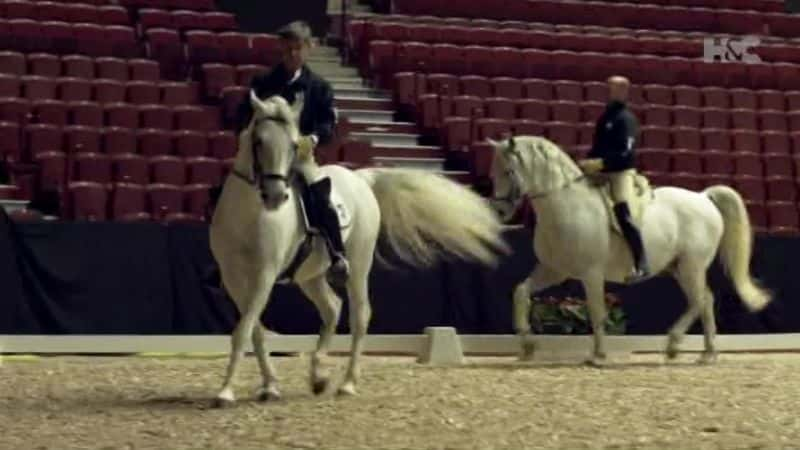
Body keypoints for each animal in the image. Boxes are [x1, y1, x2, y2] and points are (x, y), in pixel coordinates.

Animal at [206, 93, 506, 406]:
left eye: (293, 145)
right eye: (258, 141)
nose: (276, 197)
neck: (249, 214)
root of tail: (360, 179)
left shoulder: (264, 273)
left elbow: (243, 331)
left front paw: (226, 392)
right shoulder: (233, 277)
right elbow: (254, 331)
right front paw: (270, 386)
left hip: (359, 264)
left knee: (360, 315)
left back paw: (347, 384)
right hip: (310, 275)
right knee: (331, 309)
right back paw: (318, 377)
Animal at [484, 135, 772, 364]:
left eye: (508, 171)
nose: (499, 212)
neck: (566, 206)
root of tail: (703, 198)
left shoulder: (591, 273)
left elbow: (596, 311)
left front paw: (597, 356)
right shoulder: (554, 270)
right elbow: (521, 292)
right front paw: (527, 346)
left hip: (692, 265)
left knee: (699, 300)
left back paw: (675, 345)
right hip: (679, 268)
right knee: (705, 299)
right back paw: (705, 353)